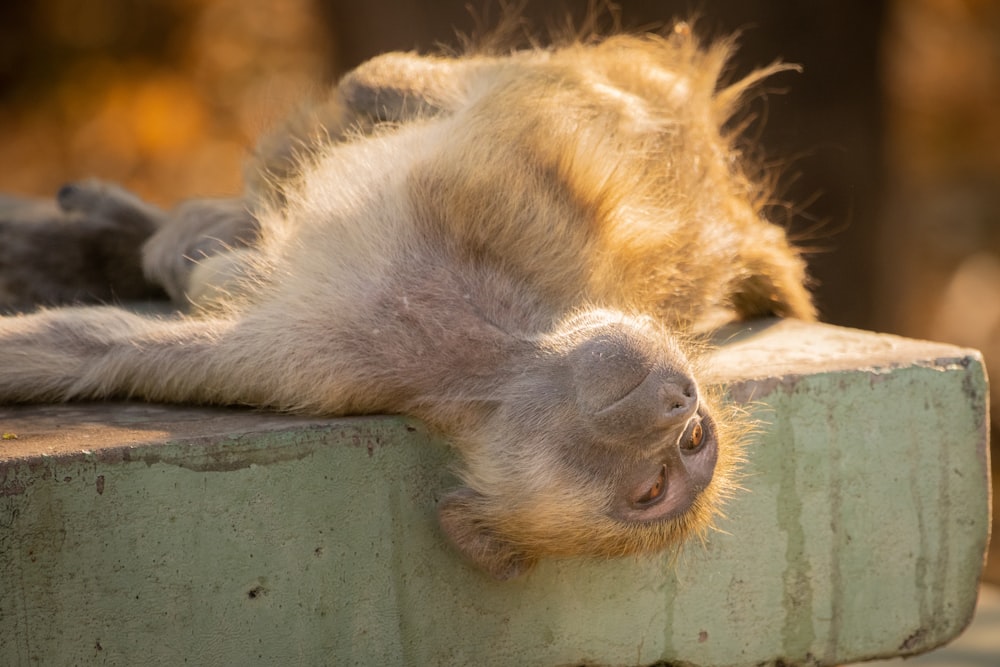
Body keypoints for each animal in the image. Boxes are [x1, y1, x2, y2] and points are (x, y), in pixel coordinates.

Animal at [0, 26, 812, 580]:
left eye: (653, 487)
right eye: (690, 447)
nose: (682, 401)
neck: (478, 347)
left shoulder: (326, 369)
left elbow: (98, 351)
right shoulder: (529, 220)